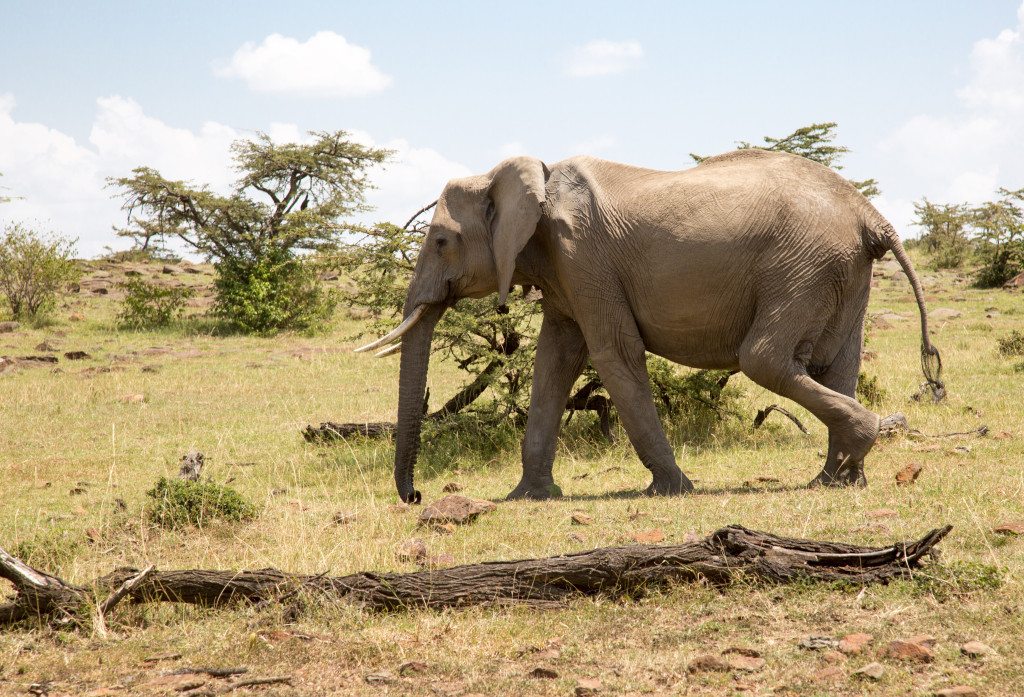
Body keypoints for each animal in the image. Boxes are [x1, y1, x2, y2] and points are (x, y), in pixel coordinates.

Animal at [354, 149, 942, 503]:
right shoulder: (566, 272)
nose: (417, 497)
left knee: (765, 359)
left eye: (440, 242)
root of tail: (871, 216)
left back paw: (854, 450)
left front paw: (673, 490)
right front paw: (529, 498)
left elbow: (612, 354)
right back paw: (838, 480)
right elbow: (555, 360)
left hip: (803, 265)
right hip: (841, 273)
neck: (526, 172)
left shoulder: (584, 257)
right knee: (837, 363)